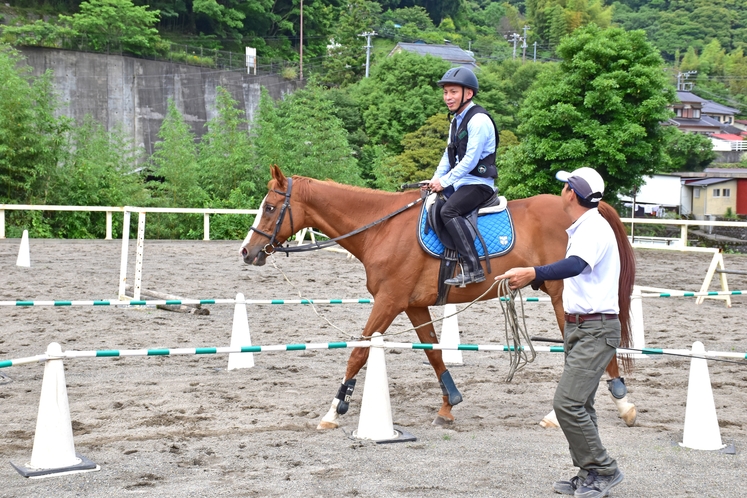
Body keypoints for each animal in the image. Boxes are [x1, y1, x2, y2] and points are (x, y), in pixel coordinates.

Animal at [241, 166, 636, 428]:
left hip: (562, 296)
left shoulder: (389, 301)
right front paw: (449, 405)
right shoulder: (413, 305)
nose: (247, 252)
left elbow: (359, 350)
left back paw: (607, 405)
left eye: (271, 208)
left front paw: (334, 410)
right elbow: (433, 353)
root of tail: (590, 210)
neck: (381, 228)